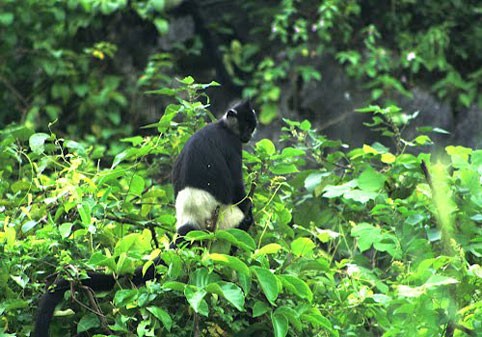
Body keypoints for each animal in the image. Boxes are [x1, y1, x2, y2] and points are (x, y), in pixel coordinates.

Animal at [33, 100, 258, 336]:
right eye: (246, 127)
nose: (248, 136)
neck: (222, 126)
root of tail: (189, 218)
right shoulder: (232, 145)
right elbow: (237, 189)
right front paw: (248, 205)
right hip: (223, 220)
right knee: (240, 221)